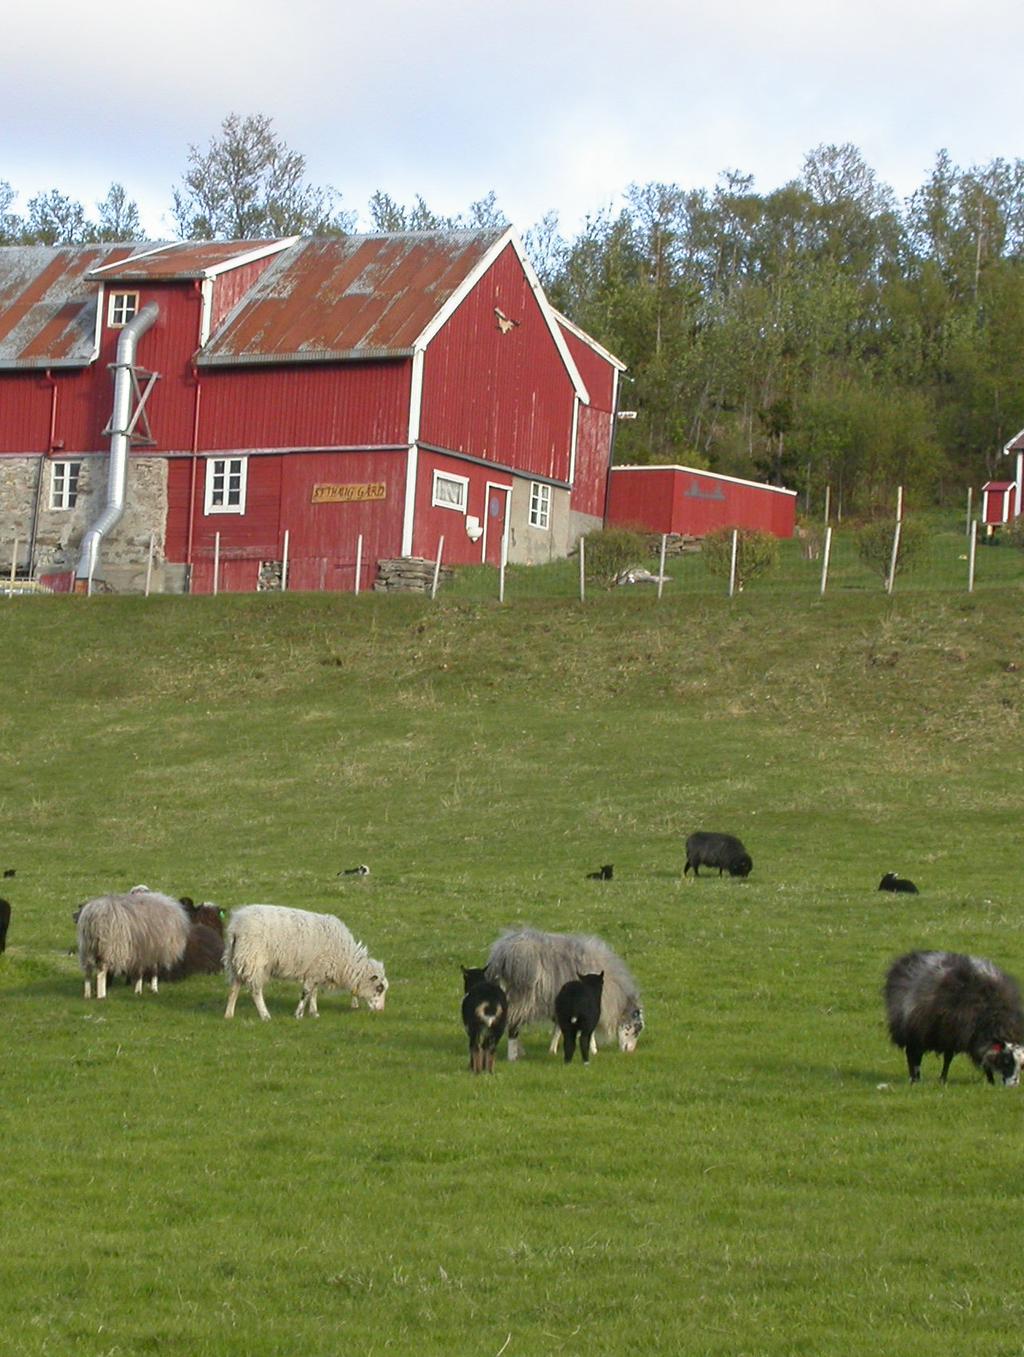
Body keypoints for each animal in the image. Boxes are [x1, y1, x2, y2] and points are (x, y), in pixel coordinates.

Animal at [223, 906, 387, 1020]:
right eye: (379, 988)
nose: (381, 1010)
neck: (345, 959)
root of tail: (235, 927)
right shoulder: (317, 969)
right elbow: (306, 992)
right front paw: (299, 1014)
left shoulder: (316, 971)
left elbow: (313, 993)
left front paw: (314, 1013)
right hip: (254, 961)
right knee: (256, 991)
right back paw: (265, 1015)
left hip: (238, 960)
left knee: (234, 988)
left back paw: (229, 1014)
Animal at [485, 933, 645, 1058]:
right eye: (637, 1029)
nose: (630, 1052)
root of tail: (502, 956)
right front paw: (593, 1050)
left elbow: (557, 1029)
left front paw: (552, 1050)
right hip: (523, 999)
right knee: (513, 1024)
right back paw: (512, 1055)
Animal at [878, 949, 1024, 1085]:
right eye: (1006, 1061)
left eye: (1022, 1065)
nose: (1013, 1085)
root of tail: (906, 959)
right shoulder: (949, 1033)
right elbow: (949, 1058)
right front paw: (943, 1080)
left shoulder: (967, 1038)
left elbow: (980, 1058)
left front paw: (990, 1082)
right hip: (913, 1028)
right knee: (913, 1053)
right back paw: (915, 1079)